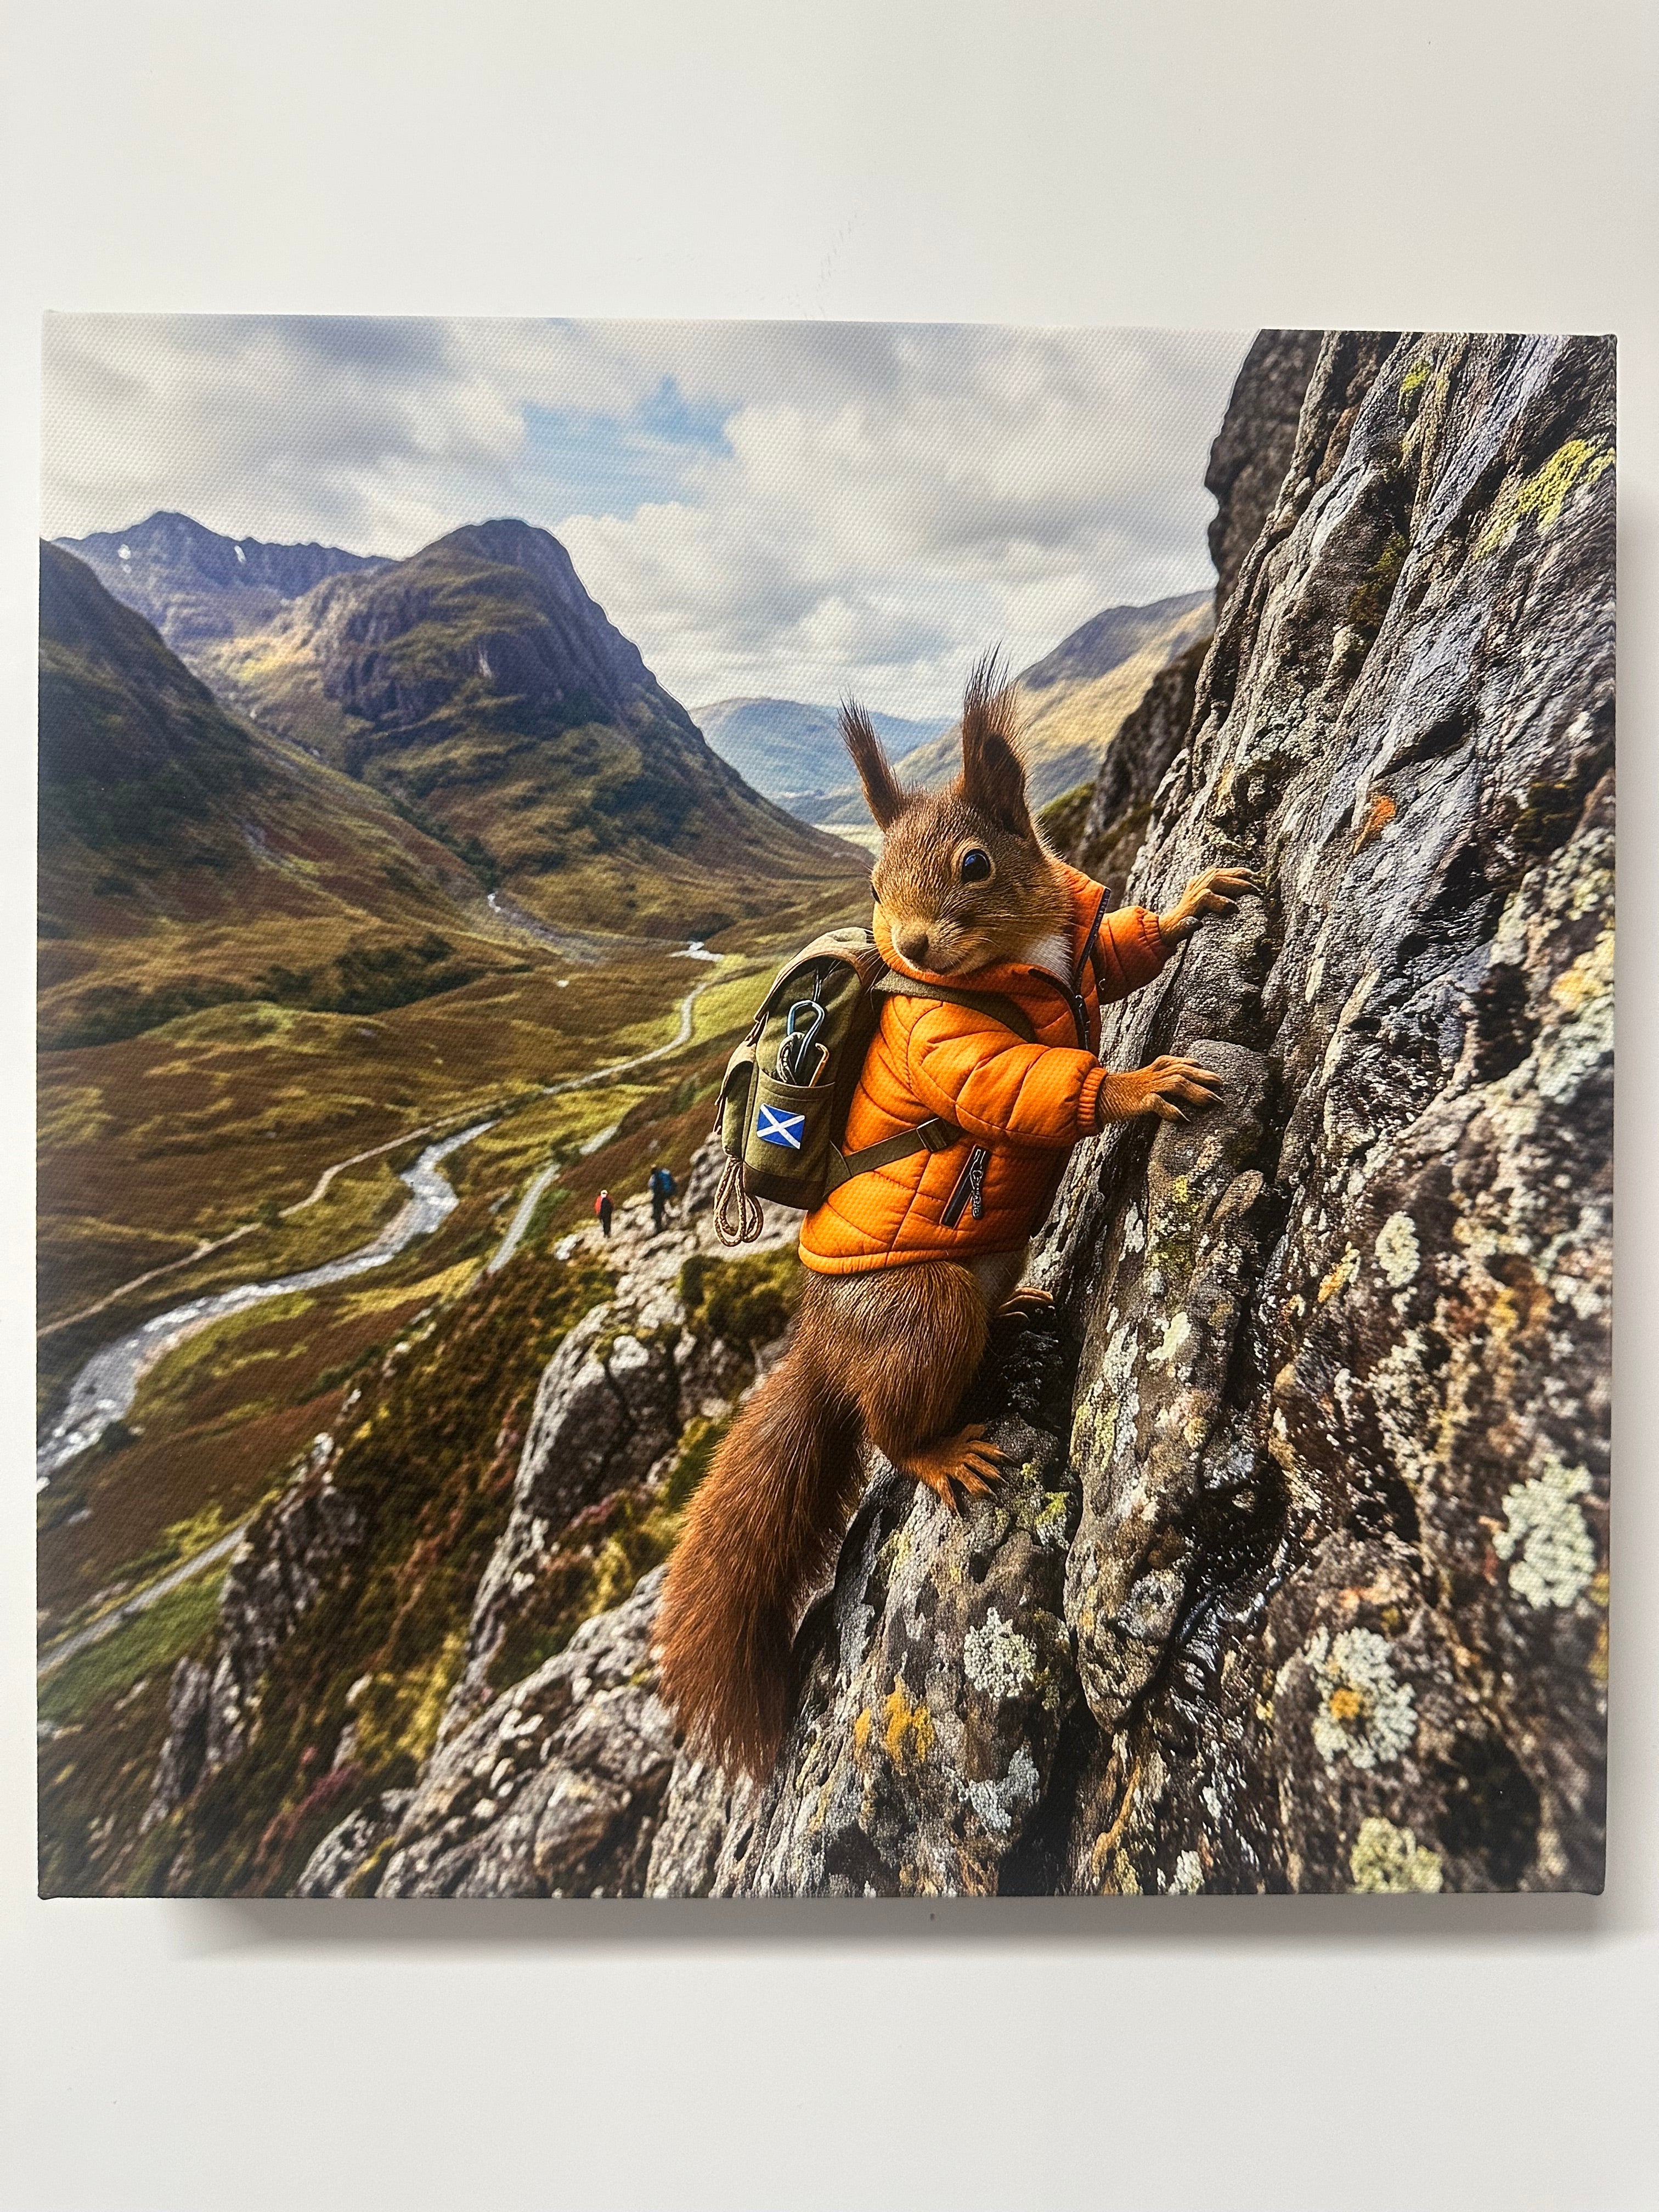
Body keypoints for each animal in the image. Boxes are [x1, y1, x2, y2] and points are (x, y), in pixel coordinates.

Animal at [656, 653, 1255, 1778]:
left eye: (976, 863)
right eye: (875, 885)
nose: (912, 942)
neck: (1020, 955)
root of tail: (823, 1346)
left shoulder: (1079, 940)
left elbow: (1118, 950)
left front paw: (1193, 900)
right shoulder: (947, 1041)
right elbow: (1019, 1085)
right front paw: (1137, 1084)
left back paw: (1016, 1309)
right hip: (920, 1310)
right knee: (890, 1429)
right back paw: (942, 1452)